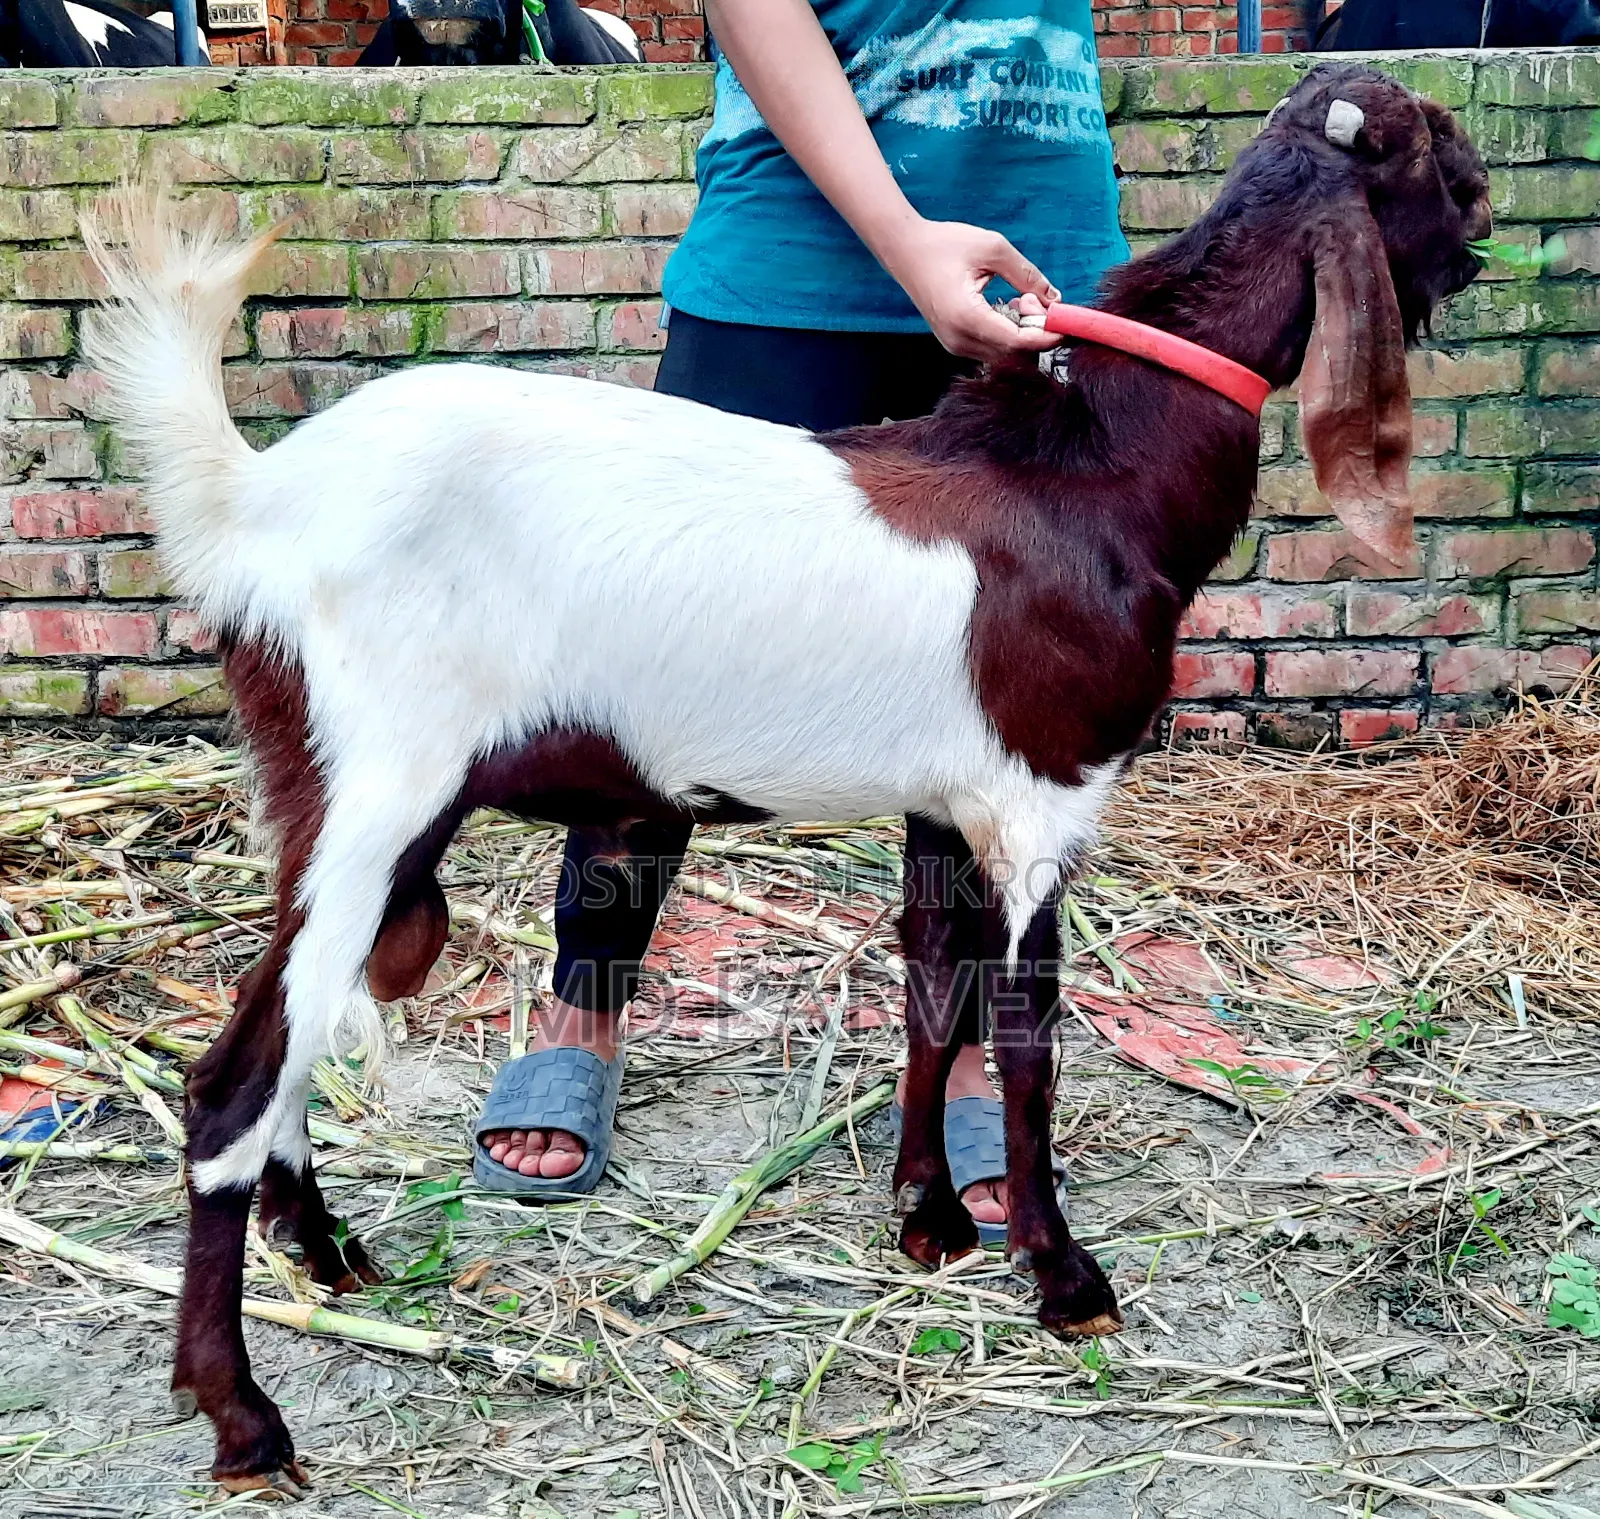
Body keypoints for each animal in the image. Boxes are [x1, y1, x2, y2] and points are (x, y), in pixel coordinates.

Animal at [82, 62, 1490, 1497]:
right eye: (1446, 158)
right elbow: (1026, 1038)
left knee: (294, 1031)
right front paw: (1063, 1276)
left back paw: (324, 1249)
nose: (1484, 242)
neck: (1089, 470)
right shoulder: (1045, 794)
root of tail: (256, 497)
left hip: (331, 801)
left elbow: (935, 991)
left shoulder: (946, 798)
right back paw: (244, 1414)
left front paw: (929, 1215)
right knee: (232, 1078)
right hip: (380, 787)